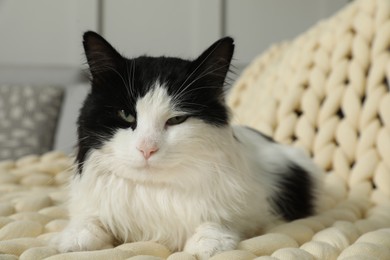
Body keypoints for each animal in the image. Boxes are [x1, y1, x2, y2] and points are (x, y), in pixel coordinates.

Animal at [54, 31, 322, 258]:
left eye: (176, 119)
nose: (147, 149)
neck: (154, 193)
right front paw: (74, 239)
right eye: (126, 115)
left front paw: (208, 243)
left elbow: (217, 221)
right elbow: (87, 221)